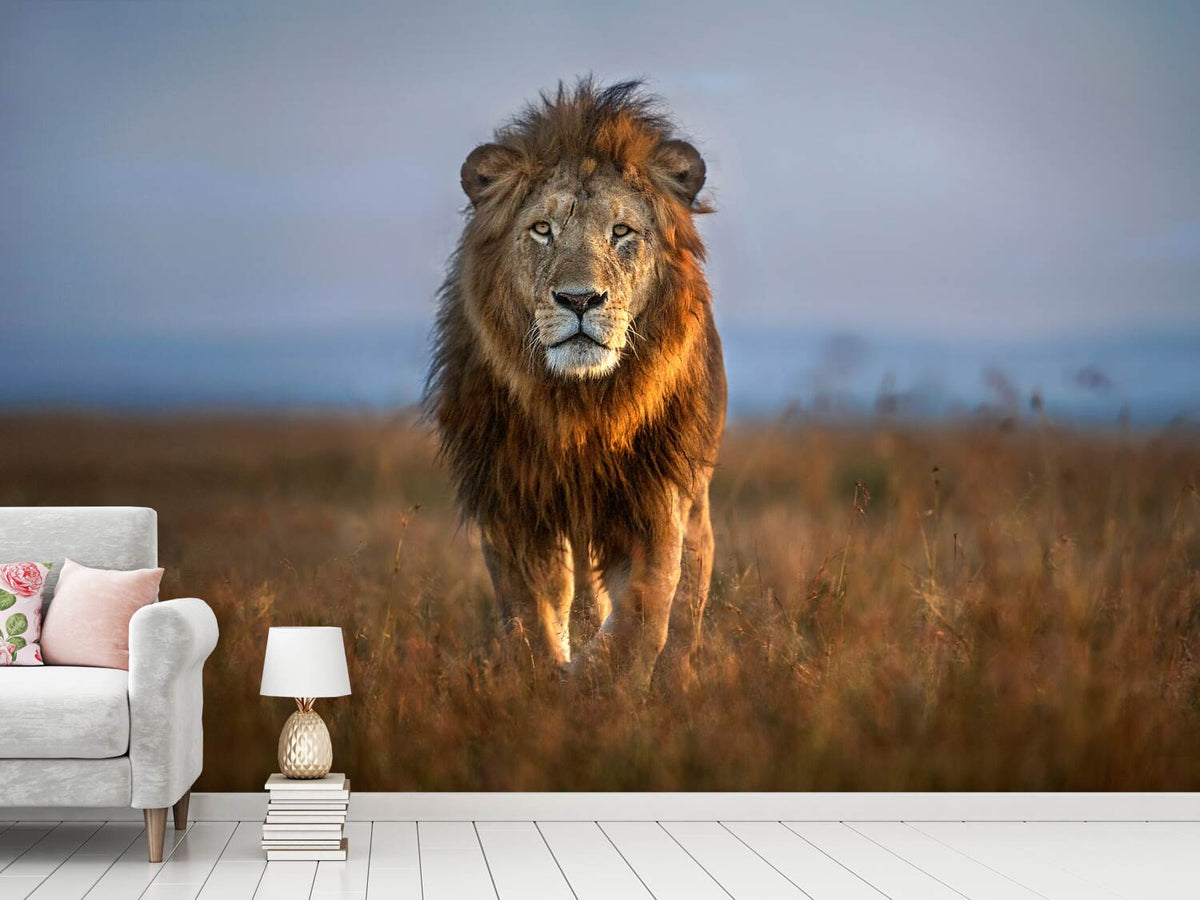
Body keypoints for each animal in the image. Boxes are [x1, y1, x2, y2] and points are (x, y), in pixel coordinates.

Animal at [425, 79, 726, 685]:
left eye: (621, 231)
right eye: (543, 229)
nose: (580, 299)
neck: (581, 406)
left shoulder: (654, 497)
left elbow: (642, 615)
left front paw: (597, 684)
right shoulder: (512, 500)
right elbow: (531, 613)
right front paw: (545, 680)